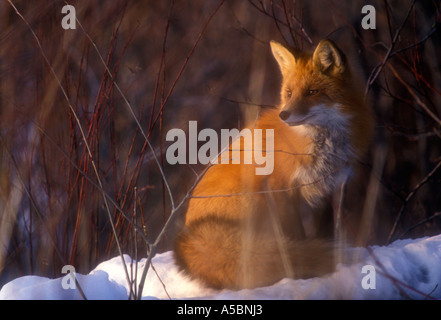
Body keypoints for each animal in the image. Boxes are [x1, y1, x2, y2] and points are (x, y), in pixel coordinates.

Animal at [172, 38, 372, 288]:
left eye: (313, 92)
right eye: (289, 93)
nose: (284, 115)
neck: (320, 142)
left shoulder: (324, 191)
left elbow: (322, 230)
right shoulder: (281, 189)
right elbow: (295, 234)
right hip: (254, 197)